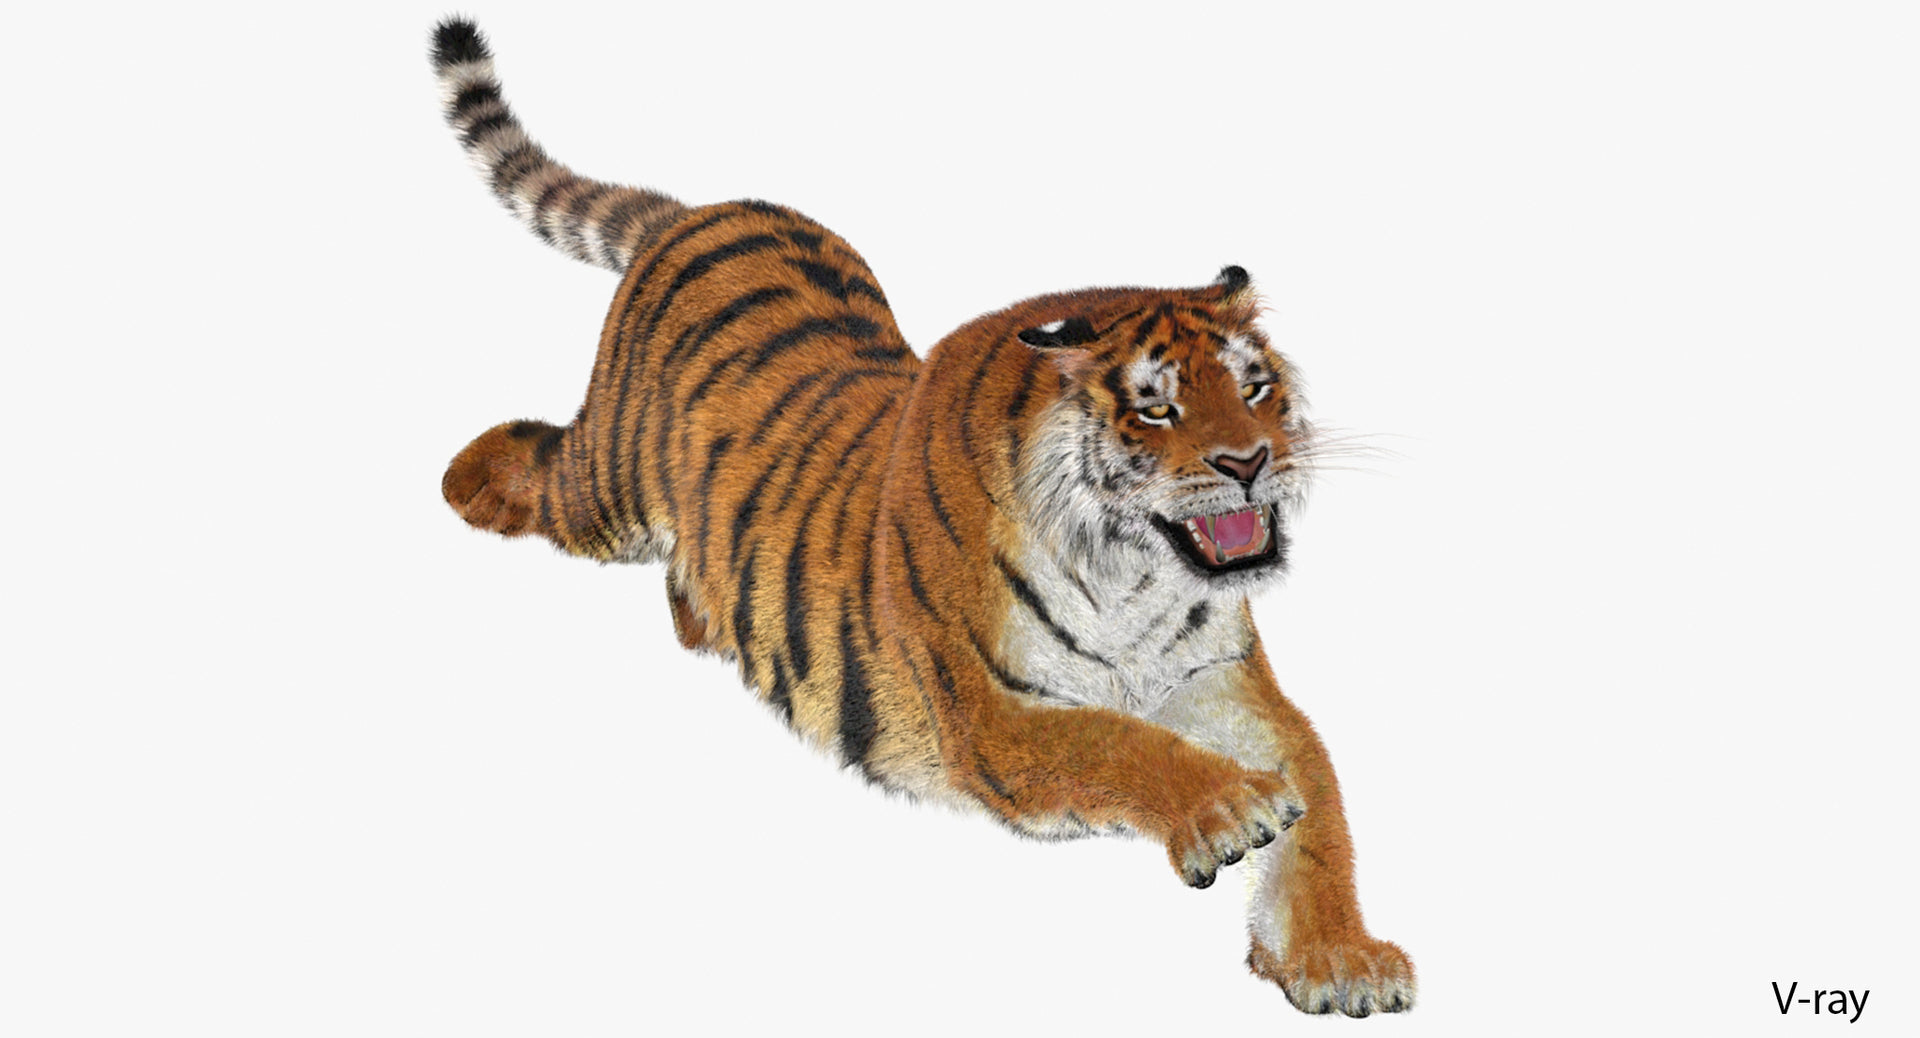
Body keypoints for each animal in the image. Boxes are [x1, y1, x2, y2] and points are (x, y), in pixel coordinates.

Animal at [429, 17, 1413, 1017]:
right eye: (1156, 408)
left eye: (1254, 389)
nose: (1250, 463)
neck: (1133, 576)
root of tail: (699, 211)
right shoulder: (993, 713)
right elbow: (1116, 742)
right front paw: (1231, 809)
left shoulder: (1225, 685)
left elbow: (1320, 808)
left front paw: (1339, 957)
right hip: (605, 488)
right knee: (543, 466)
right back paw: (464, 482)